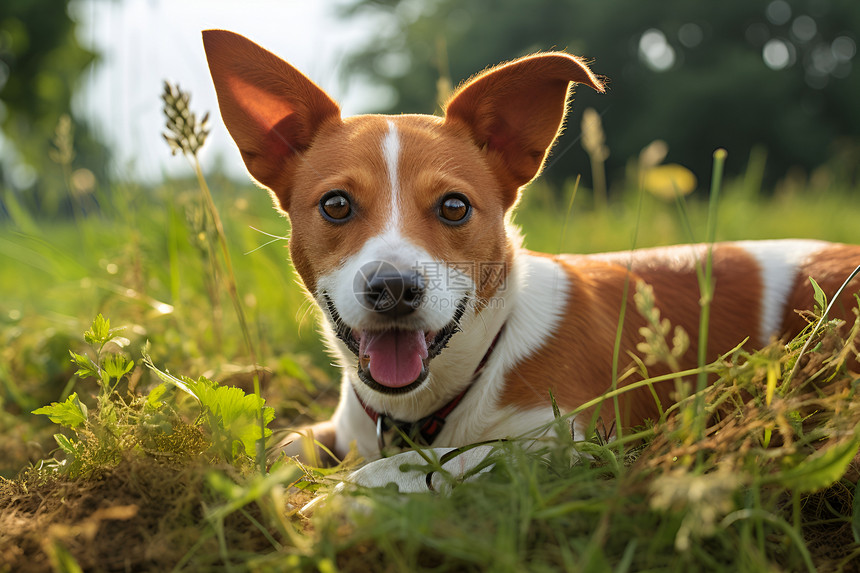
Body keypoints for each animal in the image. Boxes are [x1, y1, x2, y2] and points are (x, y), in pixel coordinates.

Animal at [203, 29, 860, 490]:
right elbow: (281, 442)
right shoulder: (342, 428)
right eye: (336, 205)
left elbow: (430, 465)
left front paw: (339, 500)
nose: (394, 288)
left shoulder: (566, 444)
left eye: (454, 207)